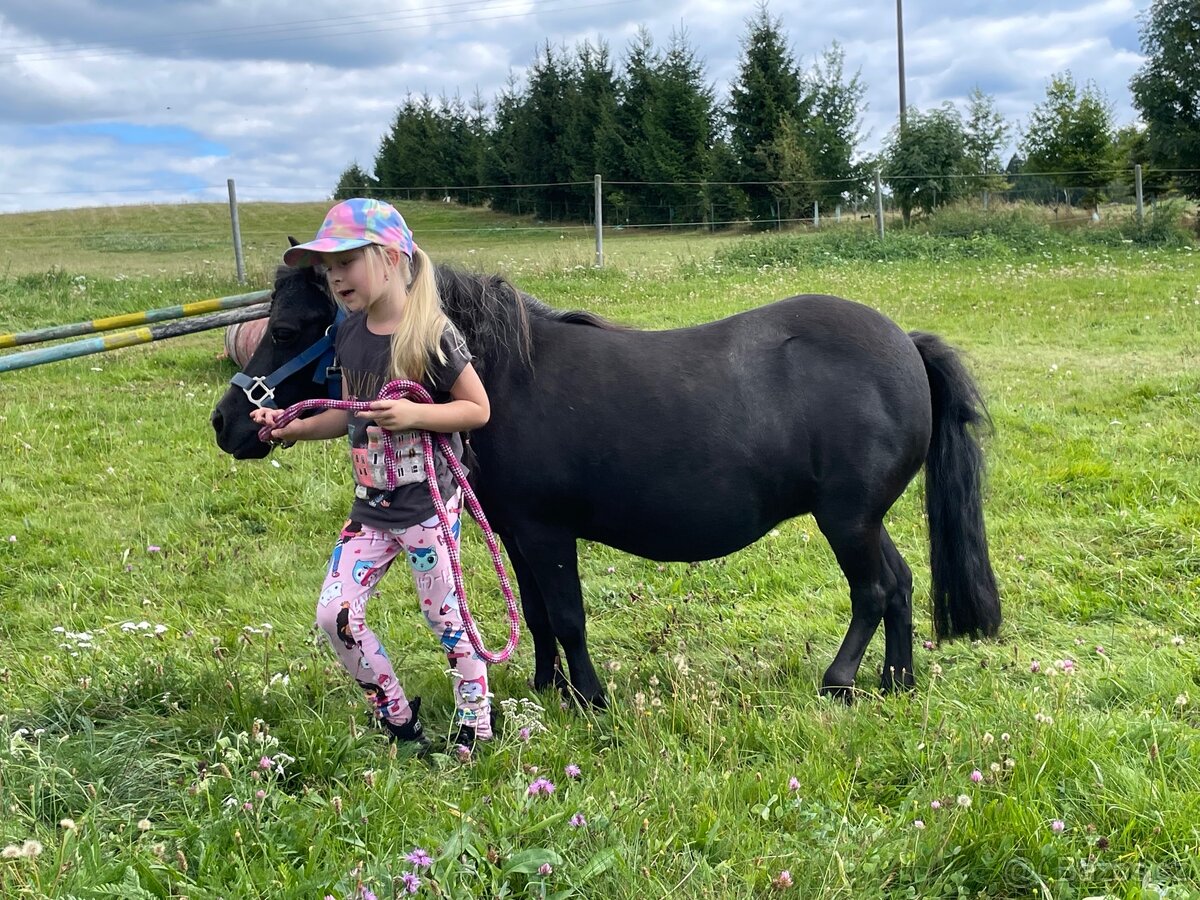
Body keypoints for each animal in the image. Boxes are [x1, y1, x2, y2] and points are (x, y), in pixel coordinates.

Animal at [211, 264, 1001, 707]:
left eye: (289, 327)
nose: (228, 423)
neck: (501, 377)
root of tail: (905, 344)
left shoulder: (547, 531)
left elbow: (567, 617)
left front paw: (589, 699)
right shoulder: (517, 534)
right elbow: (534, 616)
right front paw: (546, 689)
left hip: (846, 519)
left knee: (875, 589)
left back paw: (841, 681)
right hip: (862, 519)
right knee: (900, 585)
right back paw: (896, 680)